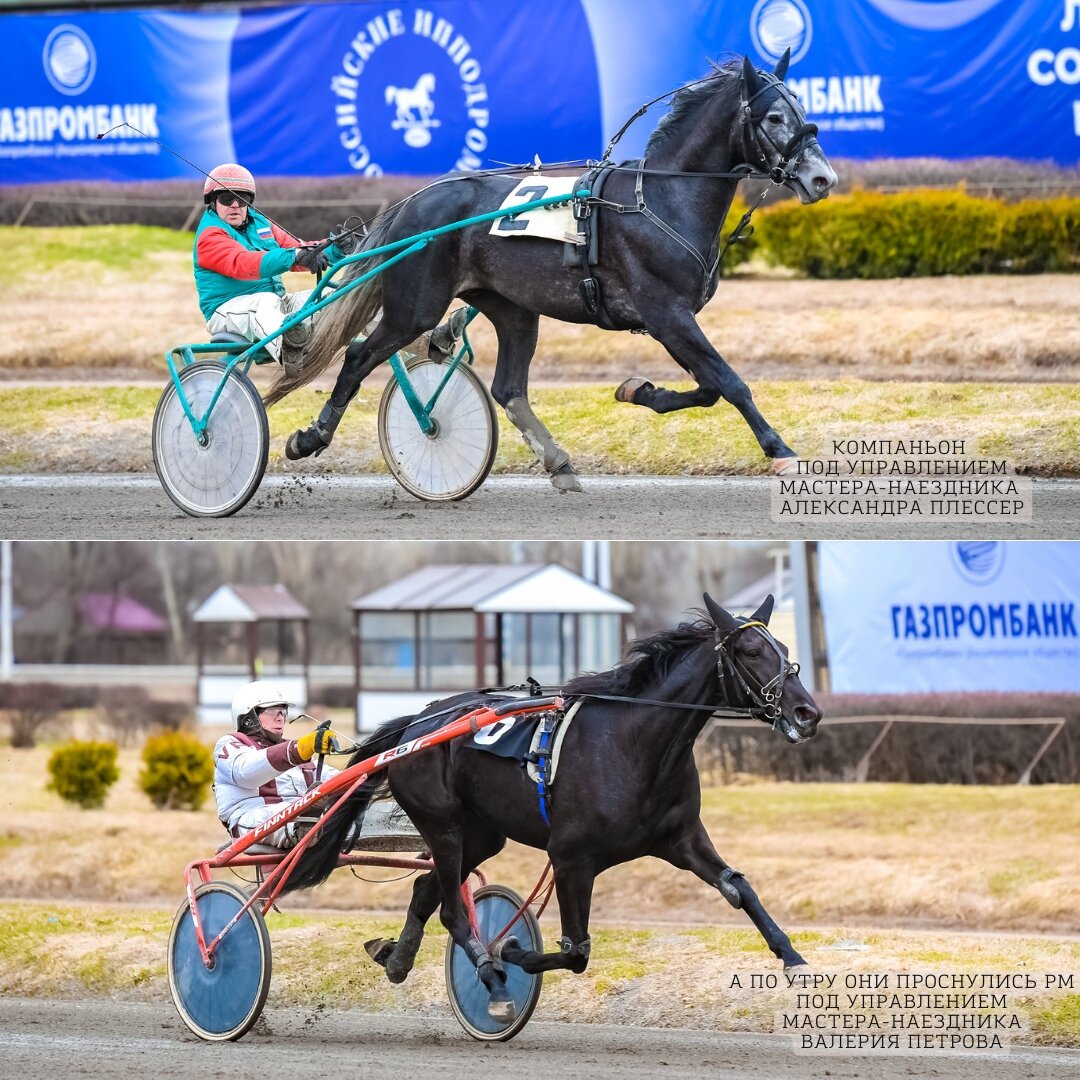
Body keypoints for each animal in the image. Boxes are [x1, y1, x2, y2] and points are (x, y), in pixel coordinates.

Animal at [270, 50, 833, 490]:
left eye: (804, 111)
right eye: (775, 117)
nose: (823, 178)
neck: (660, 198)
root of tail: (414, 201)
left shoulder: (669, 320)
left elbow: (711, 386)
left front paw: (638, 390)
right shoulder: (667, 313)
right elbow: (729, 382)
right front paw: (780, 450)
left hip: (513, 309)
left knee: (507, 389)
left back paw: (558, 460)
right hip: (416, 306)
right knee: (360, 355)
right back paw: (310, 437)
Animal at [287, 596, 816, 1023]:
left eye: (785, 651)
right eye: (752, 652)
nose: (808, 713)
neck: (634, 743)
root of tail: (419, 721)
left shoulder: (680, 839)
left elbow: (738, 888)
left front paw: (792, 957)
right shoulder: (571, 858)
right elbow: (576, 950)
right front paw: (512, 948)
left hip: (481, 833)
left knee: (425, 889)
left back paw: (397, 958)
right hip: (442, 824)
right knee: (453, 911)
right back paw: (492, 979)